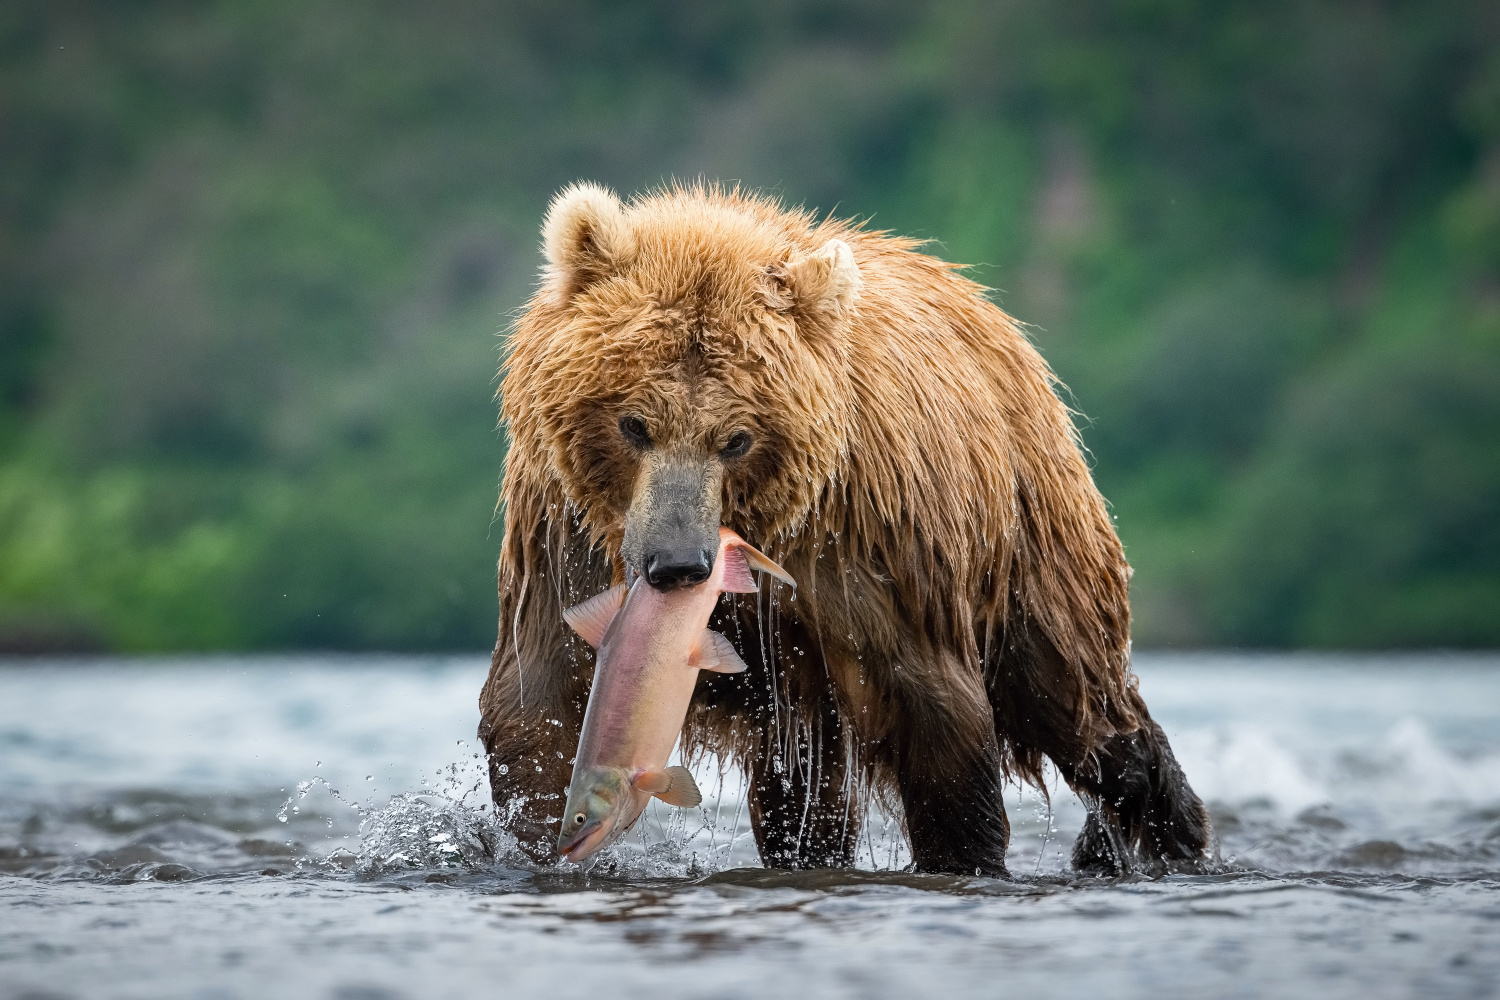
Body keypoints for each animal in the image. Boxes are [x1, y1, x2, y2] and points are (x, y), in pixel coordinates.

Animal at [480, 179, 1206, 875]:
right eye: (634, 424)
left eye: (736, 438)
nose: (677, 563)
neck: (771, 527)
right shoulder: (563, 534)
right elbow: (539, 703)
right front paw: (541, 833)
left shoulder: (871, 550)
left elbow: (942, 726)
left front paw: (963, 855)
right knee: (804, 791)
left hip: (1026, 541)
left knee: (1078, 701)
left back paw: (1156, 833)